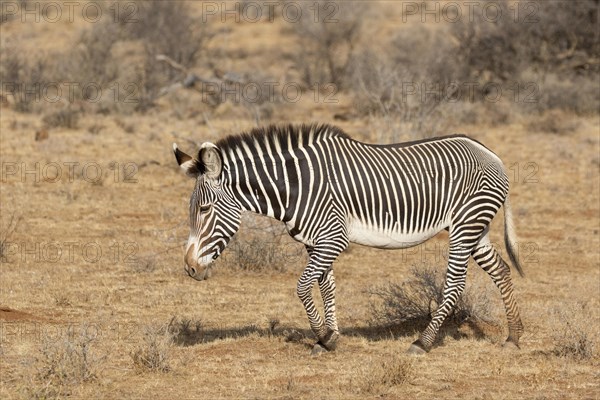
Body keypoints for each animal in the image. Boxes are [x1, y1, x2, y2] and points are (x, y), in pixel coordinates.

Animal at [171, 123, 524, 354]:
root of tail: (491, 153)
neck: (296, 187)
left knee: (455, 284)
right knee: (502, 270)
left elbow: (302, 286)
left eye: (204, 209)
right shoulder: (316, 242)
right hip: (474, 228)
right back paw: (514, 337)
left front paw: (323, 337)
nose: (189, 268)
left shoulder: (334, 238)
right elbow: (326, 285)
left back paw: (422, 343)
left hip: (466, 225)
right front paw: (330, 337)